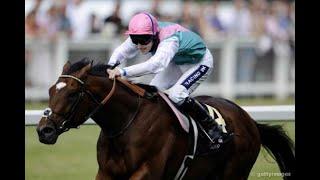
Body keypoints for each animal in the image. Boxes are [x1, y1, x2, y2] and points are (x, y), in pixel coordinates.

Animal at [35, 58, 296, 179]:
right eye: (50, 90)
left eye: (72, 93)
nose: (44, 130)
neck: (126, 123)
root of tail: (250, 122)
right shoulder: (106, 172)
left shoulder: (148, 171)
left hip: (235, 173)